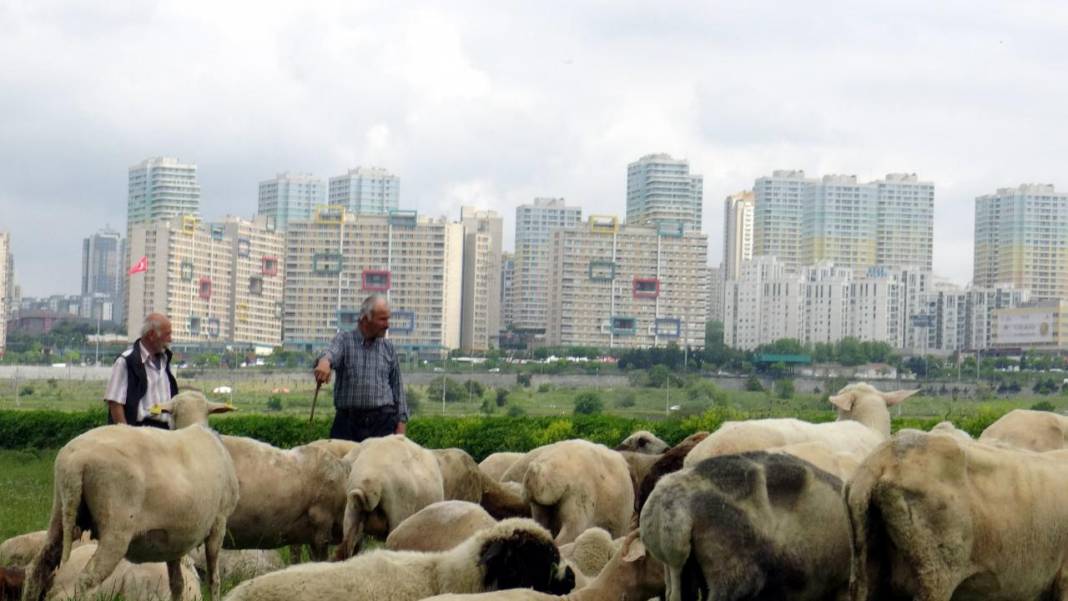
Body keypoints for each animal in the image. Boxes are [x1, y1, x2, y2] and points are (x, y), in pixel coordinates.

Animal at [20, 390, 239, 601]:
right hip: (116, 527)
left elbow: (177, 583)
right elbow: (213, 578)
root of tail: (76, 461)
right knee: (87, 580)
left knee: (38, 567)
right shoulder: (219, 522)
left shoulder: (174, 538)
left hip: (61, 509)